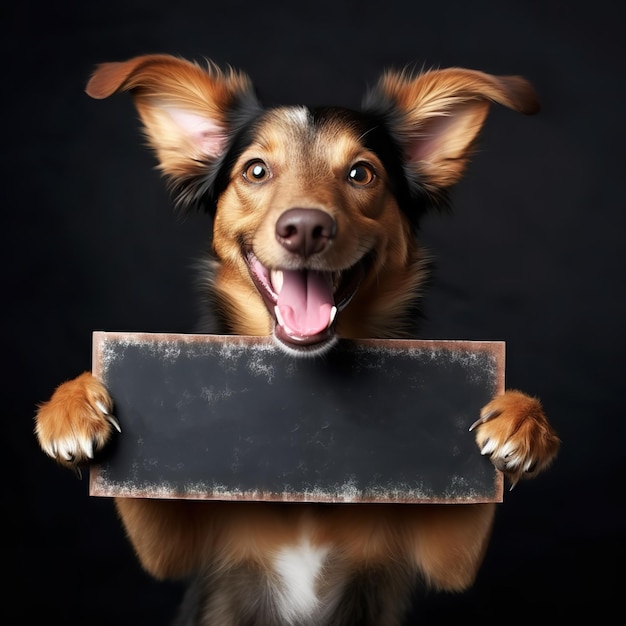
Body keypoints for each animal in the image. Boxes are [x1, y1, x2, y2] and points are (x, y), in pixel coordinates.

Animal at [36, 56, 560, 620]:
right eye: (256, 170)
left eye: (361, 173)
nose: (305, 229)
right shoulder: (175, 548)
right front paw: (70, 406)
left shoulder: (446, 554)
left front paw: (523, 421)